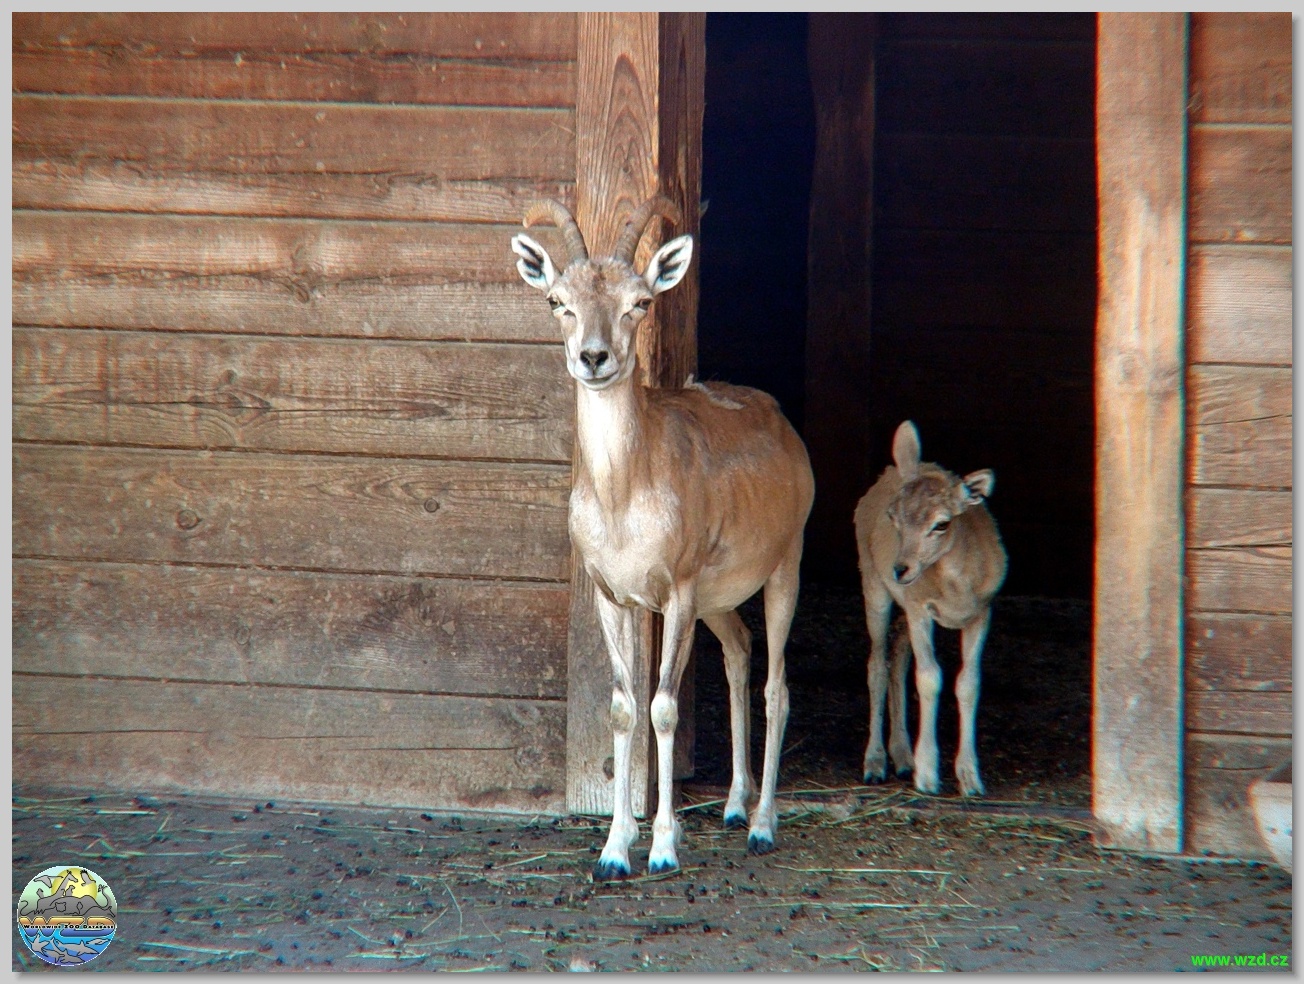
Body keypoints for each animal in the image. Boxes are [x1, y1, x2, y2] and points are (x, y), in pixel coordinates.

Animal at [511, 197, 815, 879]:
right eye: (558, 301)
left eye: (640, 303)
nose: (594, 357)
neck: (624, 499)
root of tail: (784, 427)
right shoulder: (614, 594)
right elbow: (624, 706)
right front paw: (614, 849)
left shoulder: (677, 589)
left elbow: (664, 706)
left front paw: (664, 849)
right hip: (719, 599)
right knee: (739, 650)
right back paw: (733, 804)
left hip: (785, 565)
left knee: (777, 685)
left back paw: (763, 825)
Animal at [853, 420, 1007, 798]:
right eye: (893, 517)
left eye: (942, 523)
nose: (900, 569)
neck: (957, 589)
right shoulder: (920, 608)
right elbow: (929, 677)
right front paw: (928, 775)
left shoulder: (982, 612)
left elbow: (968, 682)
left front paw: (971, 779)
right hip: (874, 586)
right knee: (877, 664)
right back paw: (875, 763)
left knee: (897, 657)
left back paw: (902, 757)